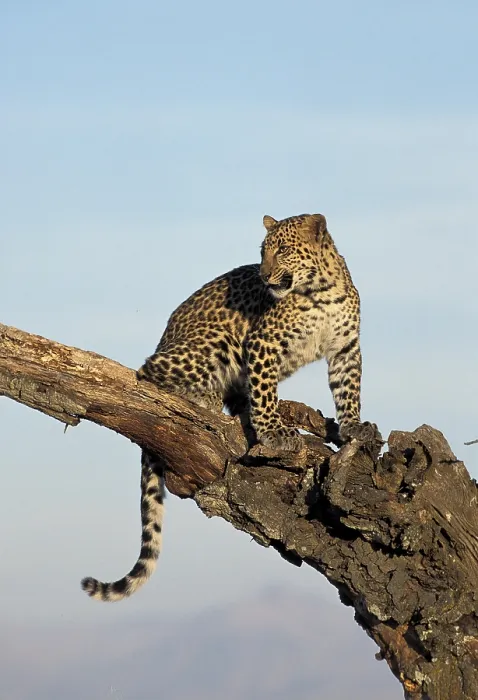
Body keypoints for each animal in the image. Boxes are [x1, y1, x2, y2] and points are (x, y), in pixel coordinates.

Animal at [82, 212, 372, 602]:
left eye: (283, 250)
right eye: (263, 252)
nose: (264, 275)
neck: (321, 291)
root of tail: (164, 337)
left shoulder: (345, 348)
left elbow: (349, 391)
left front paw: (353, 426)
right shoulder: (263, 342)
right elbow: (264, 391)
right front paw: (273, 433)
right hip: (216, 342)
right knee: (145, 372)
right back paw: (203, 398)